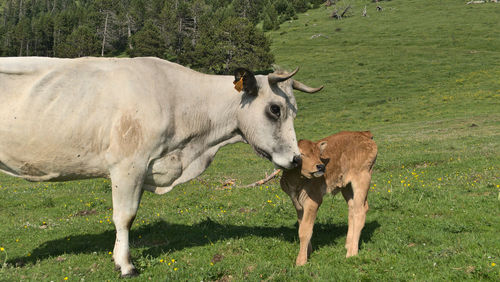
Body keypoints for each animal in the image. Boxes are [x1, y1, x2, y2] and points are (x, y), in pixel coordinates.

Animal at [0, 56, 322, 276]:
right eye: (275, 109)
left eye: (294, 111)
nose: (296, 159)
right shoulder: (127, 165)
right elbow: (125, 217)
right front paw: (126, 265)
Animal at [280, 131, 376, 266]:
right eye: (301, 154)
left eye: (319, 154)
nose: (320, 166)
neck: (296, 181)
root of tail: (364, 134)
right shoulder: (297, 204)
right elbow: (302, 225)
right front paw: (308, 252)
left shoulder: (313, 201)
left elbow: (305, 231)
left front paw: (300, 261)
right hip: (347, 186)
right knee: (352, 209)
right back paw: (348, 244)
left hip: (362, 178)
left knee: (360, 211)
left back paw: (351, 253)